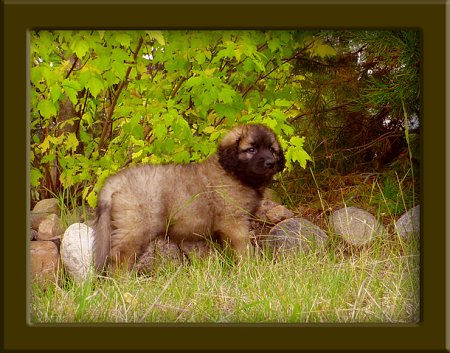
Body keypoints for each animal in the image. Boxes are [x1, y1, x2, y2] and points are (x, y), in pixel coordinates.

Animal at [93, 122, 286, 270]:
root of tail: (115, 181)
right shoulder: (234, 222)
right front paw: (247, 267)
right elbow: (242, 248)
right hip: (134, 228)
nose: (271, 163)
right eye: (251, 149)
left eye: (272, 150)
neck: (233, 173)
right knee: (120, 257)